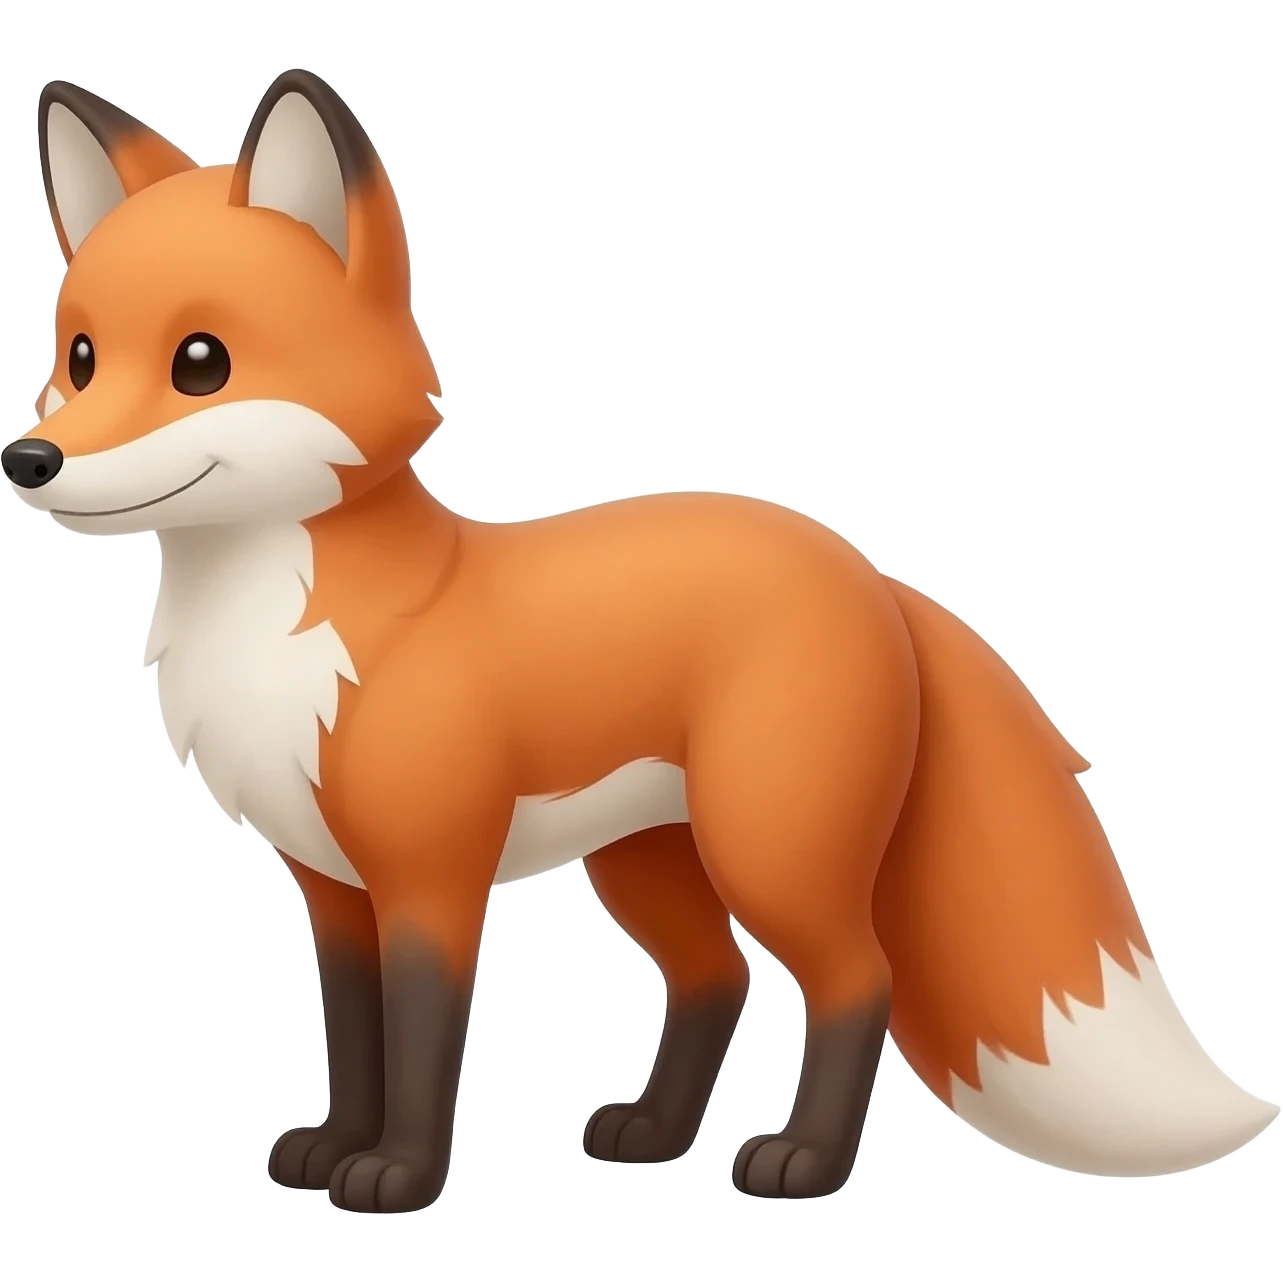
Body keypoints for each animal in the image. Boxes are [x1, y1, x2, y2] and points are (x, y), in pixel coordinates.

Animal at [8, 66, 1278, 1215]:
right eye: (79, 358)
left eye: (201, 362)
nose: (32, 459)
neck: (296, 628)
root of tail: (866, 570)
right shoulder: (331, 885)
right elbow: (357, 1036)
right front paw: (331, 1147)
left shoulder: (431, 874)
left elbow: (420, 1043)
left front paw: (398, 1175)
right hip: (647, 858)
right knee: (717, 978)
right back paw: (656, 1133)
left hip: (768, 845)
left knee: (853, 980)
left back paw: (801, 1161)